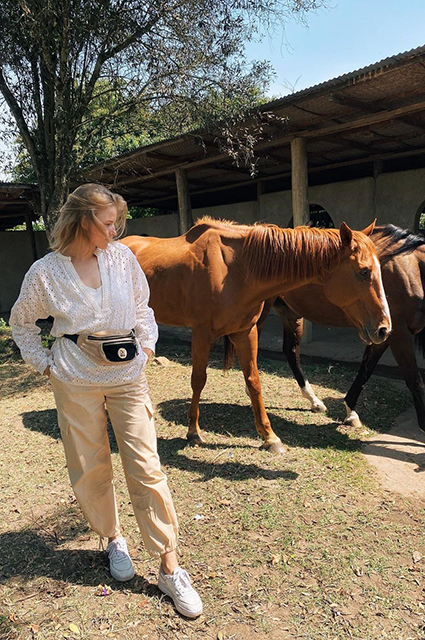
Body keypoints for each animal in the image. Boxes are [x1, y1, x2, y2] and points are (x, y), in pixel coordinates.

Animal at [121, 218, 390, 452]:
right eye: (364, 271)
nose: (384, 328)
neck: (234, 269)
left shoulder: (245, 332)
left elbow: (253, 381)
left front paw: (269, 437)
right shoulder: (201, 333)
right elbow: (198, 380)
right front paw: (193, 431)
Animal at [256, 224, 424, 430]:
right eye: (365, 273)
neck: (412, 269)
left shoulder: (383, 333)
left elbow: (365, 370)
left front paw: (351, 412)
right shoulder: (398, 335)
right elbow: (414, 380)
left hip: (291, 314)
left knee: (291, 351)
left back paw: (314, 402)